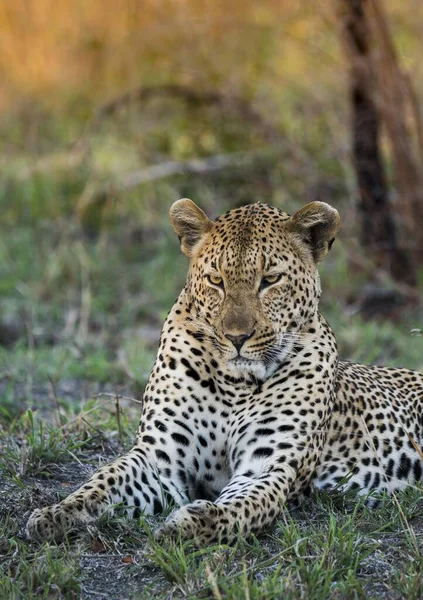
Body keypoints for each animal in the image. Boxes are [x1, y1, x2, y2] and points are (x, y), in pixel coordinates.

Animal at [25, 199, 423, 548]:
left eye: (270, 279)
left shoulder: (267, 466)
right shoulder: (161, 459)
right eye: (216, 280)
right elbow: (102, 483)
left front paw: (187, 526)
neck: (236, 385)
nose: (236, 337)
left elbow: (240, 508)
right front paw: (54, 515)